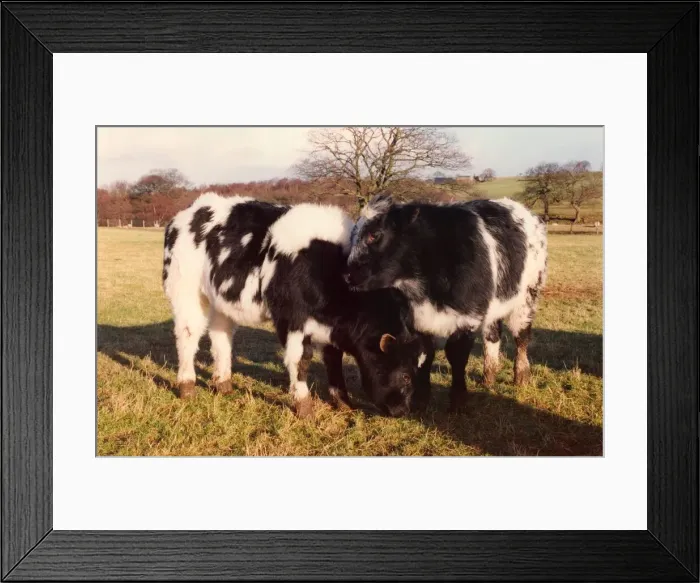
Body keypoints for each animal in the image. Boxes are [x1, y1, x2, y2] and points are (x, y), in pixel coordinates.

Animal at [162, 192, 428, 418]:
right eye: (405, 375)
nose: (402, 411)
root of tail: (190, 210)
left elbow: (334, 359)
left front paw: (343, 402)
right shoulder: (291, 319)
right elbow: (301, 360)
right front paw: (304, 406)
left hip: (222, 301)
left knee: (221, 337)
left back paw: (223, 383)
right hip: (186, 290)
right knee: (188, 334)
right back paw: (187, 386)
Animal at [345, 194, 548, 412]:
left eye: (374, 234)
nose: (347, 275)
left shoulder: (468, 318)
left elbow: (457, 357)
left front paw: (458, 400)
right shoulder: (416, 321)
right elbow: (425, 355)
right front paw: (421, 398)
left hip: (526, 298)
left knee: (522, 338)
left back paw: (522, 376)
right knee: (492, 336)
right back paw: (489, 377)